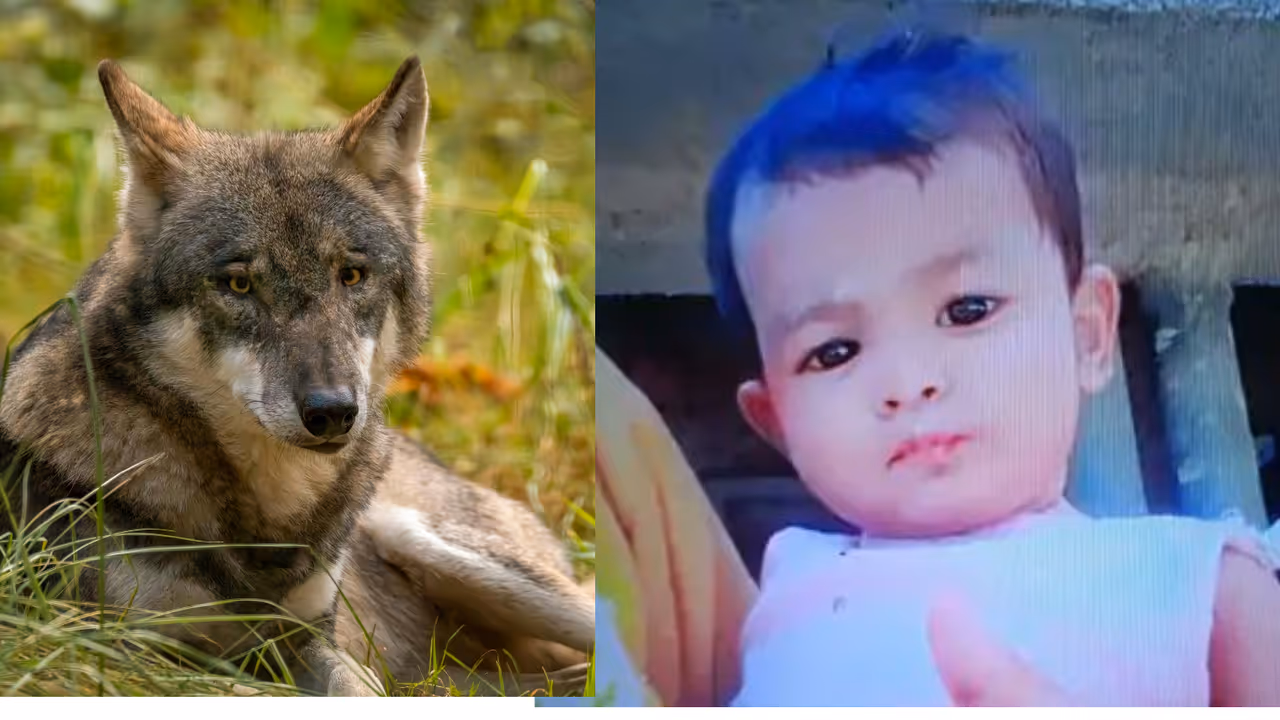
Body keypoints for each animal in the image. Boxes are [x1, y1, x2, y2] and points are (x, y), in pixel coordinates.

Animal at [0, 56, 593, 696]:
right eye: (238, 284)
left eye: (351, 275)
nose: (333, 412)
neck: (268, 518)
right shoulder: (118, 651)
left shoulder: (310, 638)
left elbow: (359, 691)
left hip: (445, 548)